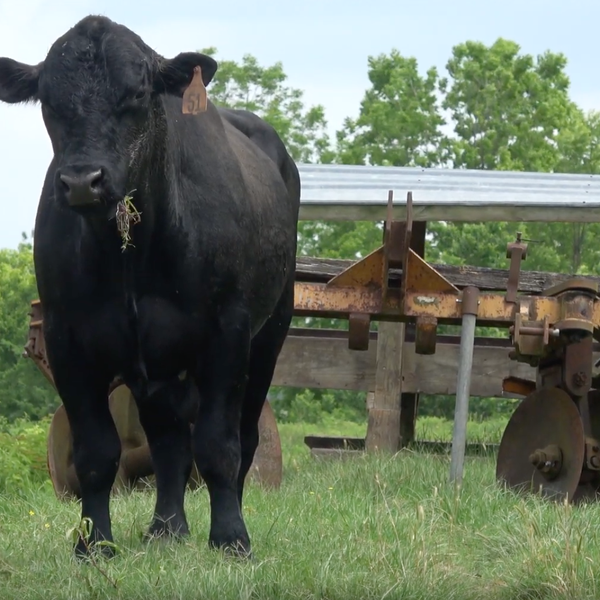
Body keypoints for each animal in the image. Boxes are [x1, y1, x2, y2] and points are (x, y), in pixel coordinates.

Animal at [0, 14, 300, 556]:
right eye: (49, 101)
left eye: (137, 93)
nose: (82, 181)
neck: (131, 258)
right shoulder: (65, 336)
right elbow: (97, 451)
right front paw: (94, 544)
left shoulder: (229, 329)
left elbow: (218, 444)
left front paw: (230, 539)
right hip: (158, 363)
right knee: (168, 441)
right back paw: (166, 528)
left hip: (272, 330)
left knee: (243, 438)